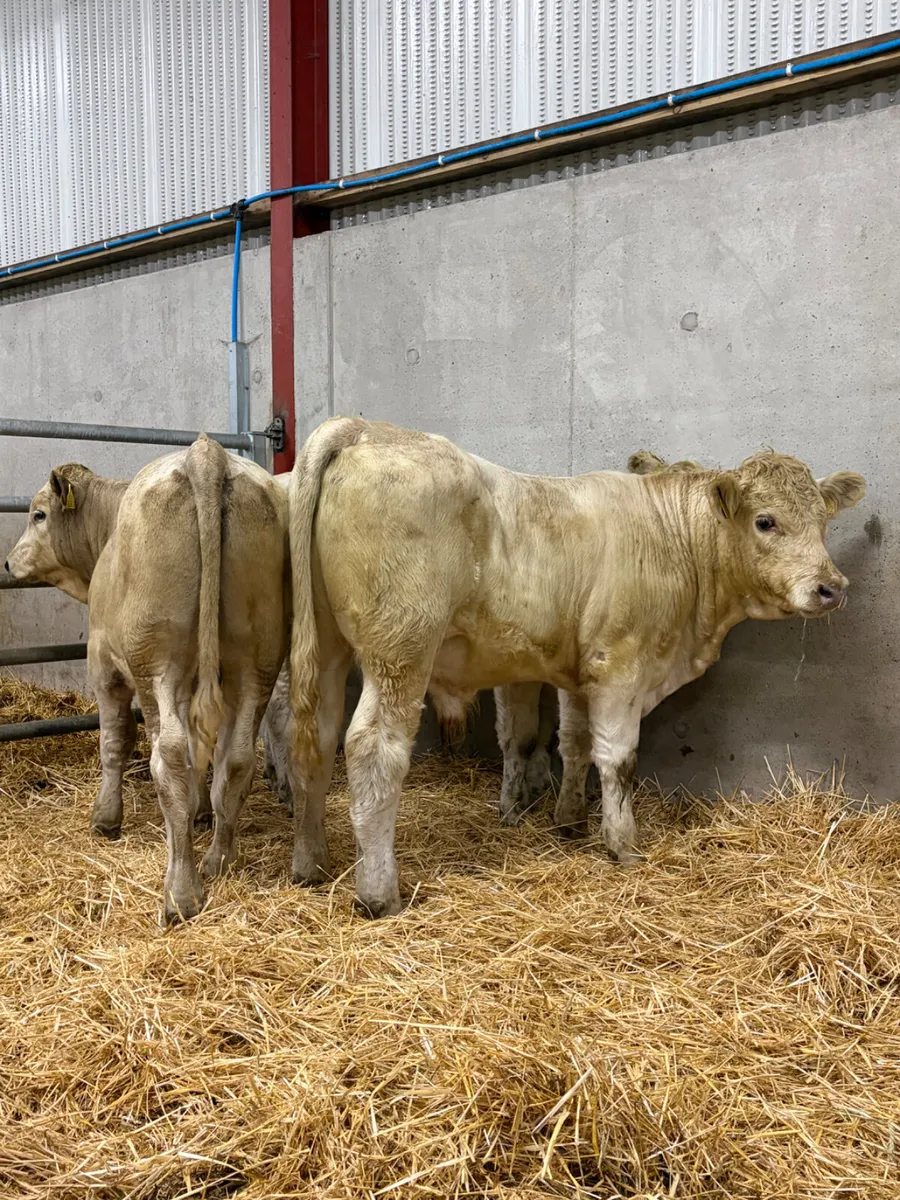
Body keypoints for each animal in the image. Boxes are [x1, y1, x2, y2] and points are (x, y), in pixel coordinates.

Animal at [5, 438, 290, 922]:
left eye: (38, 514)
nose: (8, 562)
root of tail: (205, 452)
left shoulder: (103, 663)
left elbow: (114, 741)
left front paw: (105, 817)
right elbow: (199, 755)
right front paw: (199, 813)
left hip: (157, 663)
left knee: (169, 757)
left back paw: (181, 893)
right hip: (258, 661)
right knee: (233, 758)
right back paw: (218, 860)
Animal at [285, 417, 864, 919]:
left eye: (824, 521)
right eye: (766, 521)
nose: (831, 587)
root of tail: (365, 428)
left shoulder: (579, 672)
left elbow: (575, 743)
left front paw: (570, 821)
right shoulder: (620, 665)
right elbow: (618, 758)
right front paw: (623, 844)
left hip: (328, 649)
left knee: (317, 739)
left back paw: (311, 864)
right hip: (401, 650)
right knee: (373, 749)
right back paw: (378, 893)